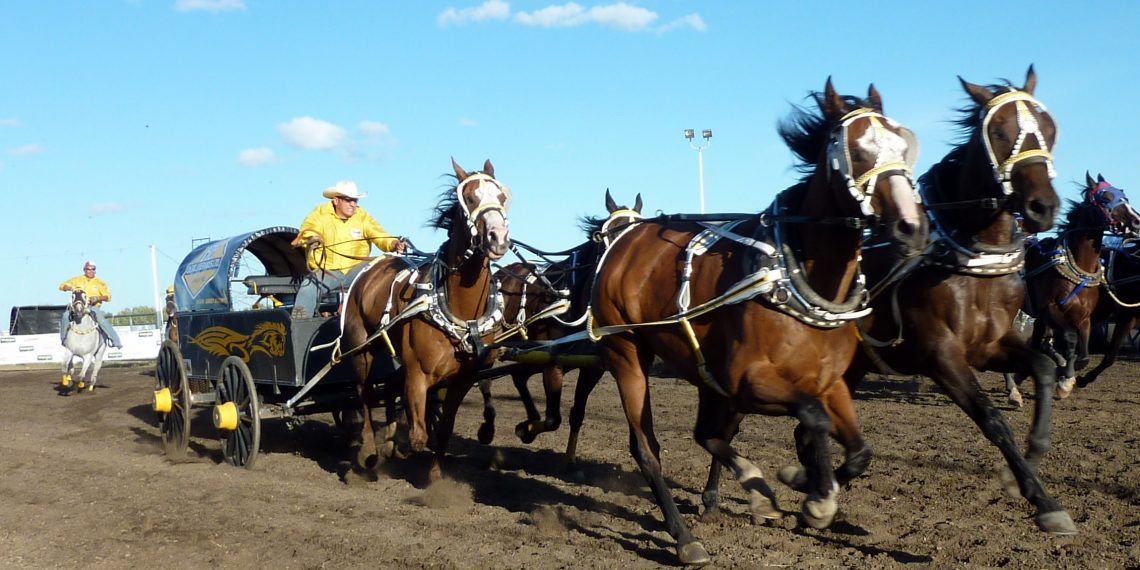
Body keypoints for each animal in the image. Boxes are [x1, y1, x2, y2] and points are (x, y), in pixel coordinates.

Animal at [339, 158, 511, 482]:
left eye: (502, 196)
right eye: (470, 198)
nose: (498, 237)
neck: (459, 310)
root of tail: (369, 270)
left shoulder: (464, 377)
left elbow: (443, 429)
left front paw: (434, 476)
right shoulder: (417, 372)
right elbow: (419, 436)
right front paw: (398, 449)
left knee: (385, 391)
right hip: (361, 348)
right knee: (363, 394)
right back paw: (368, 452)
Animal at [475, 190, 643, 472]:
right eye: (606, 235)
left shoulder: (591, 368)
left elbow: (576, 414)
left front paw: (569, 460)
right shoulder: (553, 366)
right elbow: (554, 418)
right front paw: (525, 430)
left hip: (530, 353)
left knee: (518, 376)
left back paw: (529, 418)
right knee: (482, 378)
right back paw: (488, 426)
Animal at [588, 79, 925, 565]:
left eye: (903, 144)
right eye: (858, 150)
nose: (911, 227)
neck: (797, 278)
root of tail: (625, 243)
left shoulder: (829, 383)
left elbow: (860, 450)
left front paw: (804, 484)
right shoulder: (750, 382)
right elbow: (813, 418)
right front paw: (814, 495)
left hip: (703, 376)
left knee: (706, 434)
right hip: (627, 354)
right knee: (646, 447)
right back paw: (685, 536)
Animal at [847, 66, 1077, 536]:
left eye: (1048, 128)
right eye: (1001, 131)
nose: (1042, 207)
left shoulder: (990, 346)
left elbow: (1044, 368)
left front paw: (1029, 462)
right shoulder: (941, 355)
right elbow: (992, 420)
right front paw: (1039, 497)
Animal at [1003, 173, 1140, 406]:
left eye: (1124, 194)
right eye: (1105, 197)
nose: (1136, 221)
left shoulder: (1086, 318)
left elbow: (1085, 355)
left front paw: (1068, 378)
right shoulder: (1052, 310)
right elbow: (1071, 340)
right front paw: (1064, 379)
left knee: (1038, 341)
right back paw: (1013, 390)